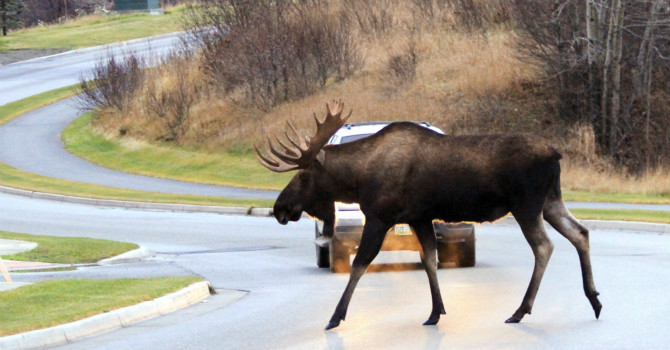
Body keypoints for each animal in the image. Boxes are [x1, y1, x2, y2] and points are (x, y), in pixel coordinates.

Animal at [256, 100, 604, 330]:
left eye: (303, 176)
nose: (279, 208)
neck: (358, 180)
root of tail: (556, 154)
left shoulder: (380, 216)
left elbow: (359, 265)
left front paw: (335, 317)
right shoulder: (419, 217)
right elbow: (430, 260)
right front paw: (436, 312)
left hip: (526, 204)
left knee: (544, 246)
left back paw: (521, 310)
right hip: (550, 201)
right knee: (580, 232)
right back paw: (594, 299)